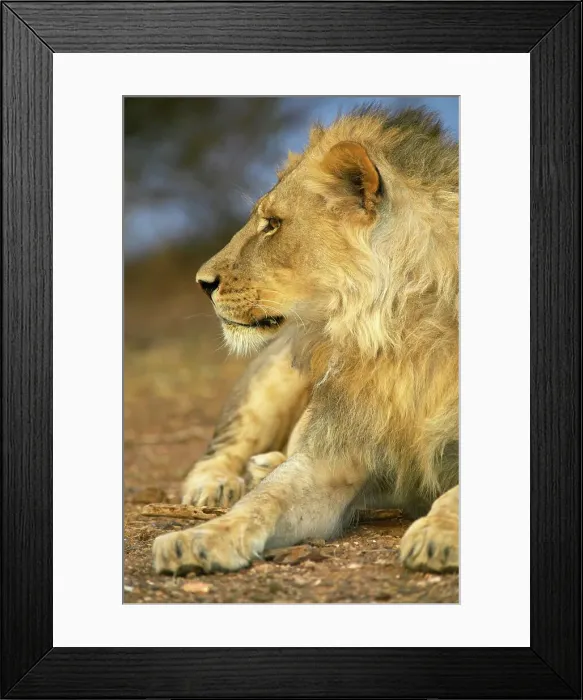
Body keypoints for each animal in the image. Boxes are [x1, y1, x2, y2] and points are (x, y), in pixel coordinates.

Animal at [153, 106, 459, 577]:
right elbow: (263, 500)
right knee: (222, 448)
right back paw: (218, 484)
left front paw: (438, 534)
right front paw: (198, 540)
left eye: (272, 225)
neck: (398, 332)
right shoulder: (331, 458)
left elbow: (456, 496)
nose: (202, 283)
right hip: (274, 375)